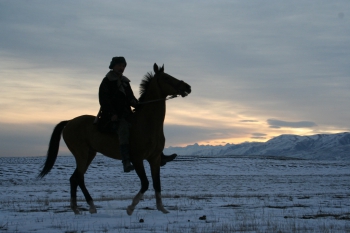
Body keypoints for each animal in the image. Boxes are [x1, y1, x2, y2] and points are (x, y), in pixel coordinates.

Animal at [38, 63, 191, 215]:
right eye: (166, 78)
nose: (187, 87)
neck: (147, 124)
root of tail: (69, 122)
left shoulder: (155, 159)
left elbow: (157, 183)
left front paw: (161, 208)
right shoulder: (137, 159)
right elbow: (145, 184)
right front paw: (130, 207)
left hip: (90, 154)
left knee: (74, 178)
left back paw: (76, 208)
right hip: (81, 154)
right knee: (79, 177)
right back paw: (90, 206)